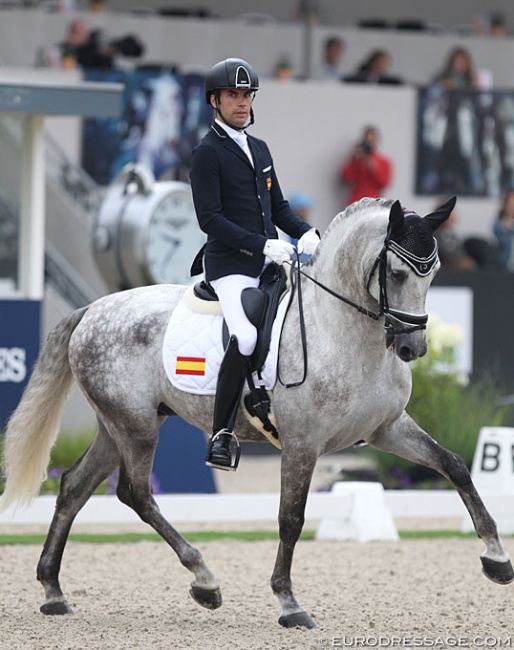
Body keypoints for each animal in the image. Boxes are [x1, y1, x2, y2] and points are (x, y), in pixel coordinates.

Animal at [2, 195, 510, 624]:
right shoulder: (303, 443)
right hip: (136, 427)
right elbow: (291, 518)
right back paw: (205, 581)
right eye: (399, 274)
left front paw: (496, 558)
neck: (342, 331)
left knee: (74, 487)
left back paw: (53, 591)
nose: (412, 348)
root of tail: (92, 309)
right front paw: (289, 603)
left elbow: (454, 465)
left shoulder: (387, 428)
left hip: (119, 426)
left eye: (434, 271)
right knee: (136, 494)